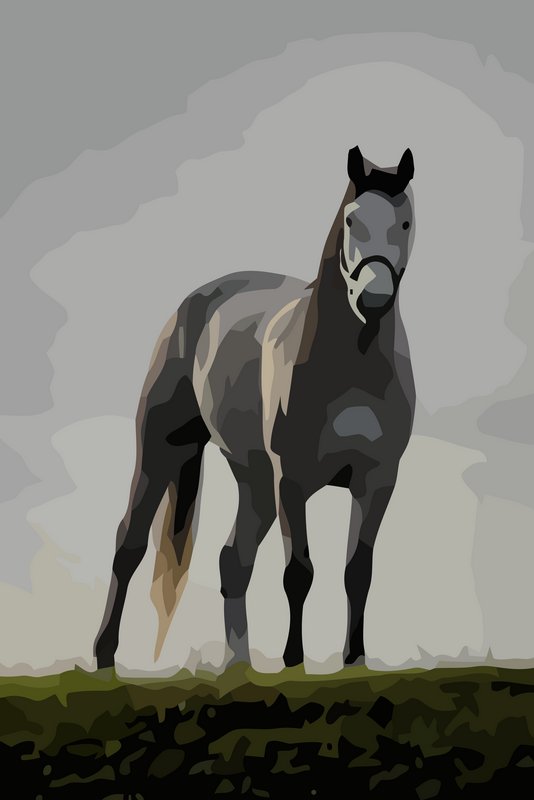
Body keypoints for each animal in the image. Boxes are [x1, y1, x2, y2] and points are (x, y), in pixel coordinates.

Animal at [94, 145, 416, 670]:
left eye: (405, 222)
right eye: (351, 220)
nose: (373, 298)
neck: (354, 365)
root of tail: (194, 303)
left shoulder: (377, 480)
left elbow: (358, 571)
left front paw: (355, 660)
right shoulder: (294, 479)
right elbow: (299, 571)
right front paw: (294, 661)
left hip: (254, 480)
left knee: (233, 559)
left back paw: (238, 666)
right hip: (164, 451)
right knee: (130, 544)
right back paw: (104, 657)